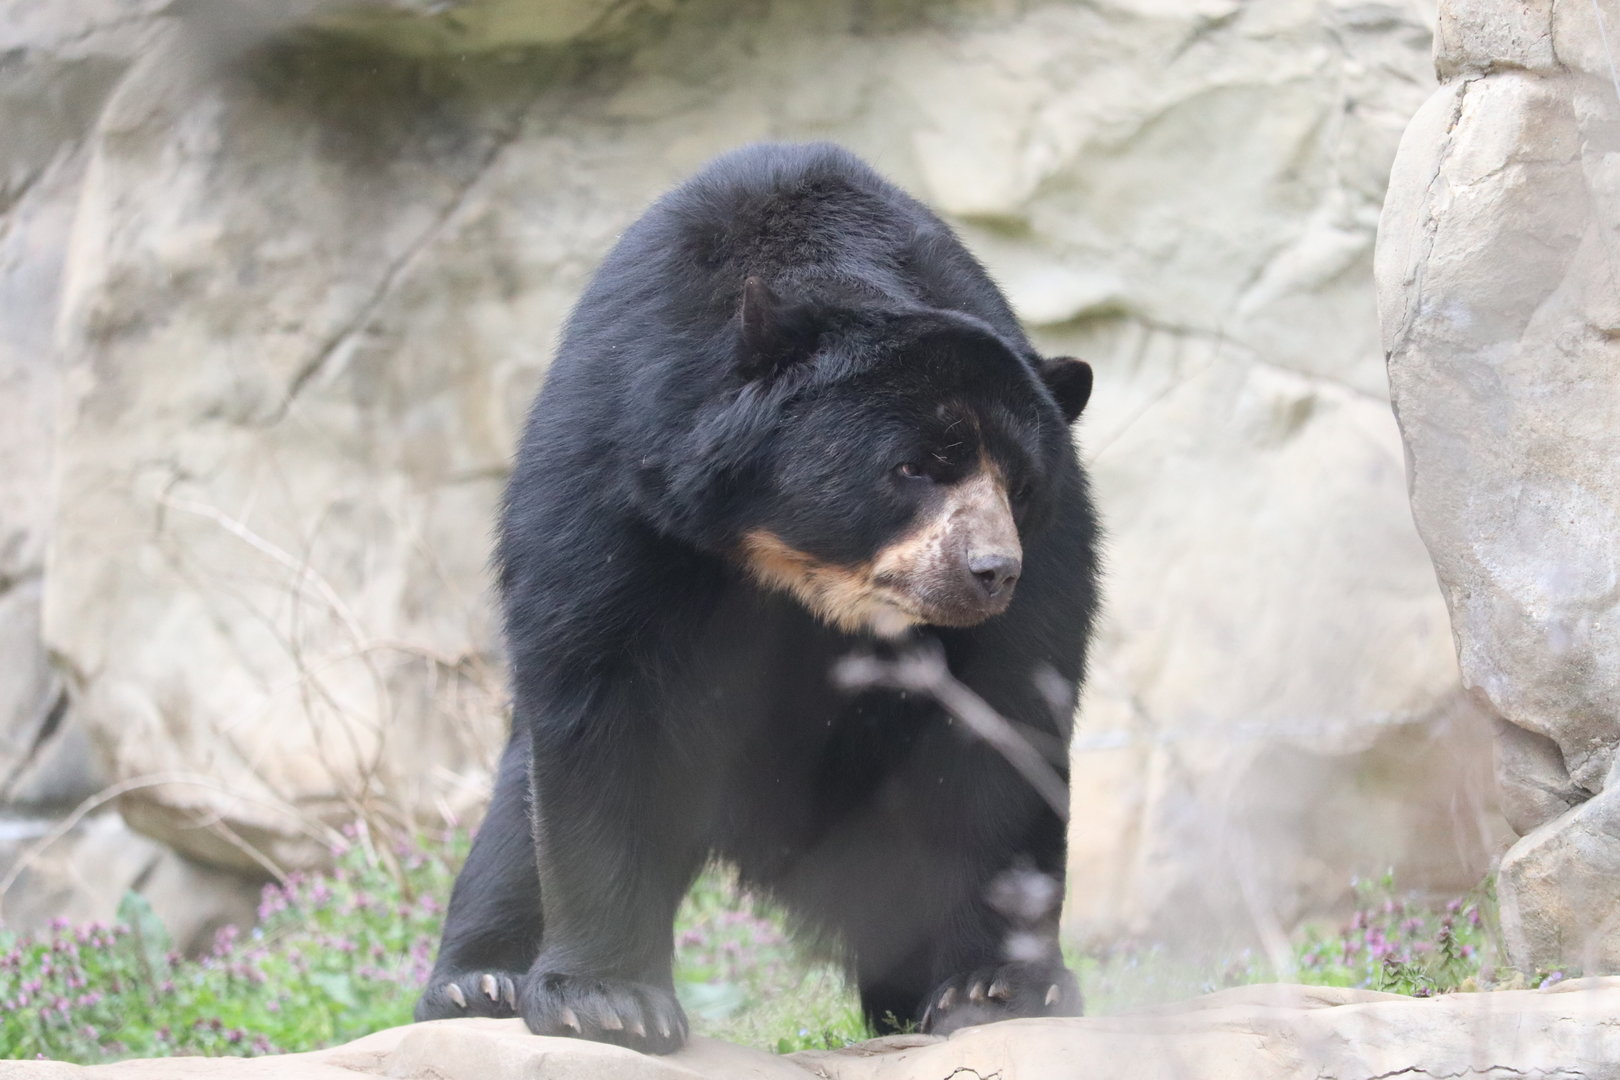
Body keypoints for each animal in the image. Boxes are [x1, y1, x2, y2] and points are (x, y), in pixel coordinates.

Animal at [414, 142, 1100, 1054]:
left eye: (1020, 486)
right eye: (916, 466)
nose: (992, 571)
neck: (790, 555)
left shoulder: (1050, 570)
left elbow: (1000, 731)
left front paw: (997, 988)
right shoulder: (616, 485)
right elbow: (606, 708)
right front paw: (607, 1002)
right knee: (512, 828)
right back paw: (476, 983)